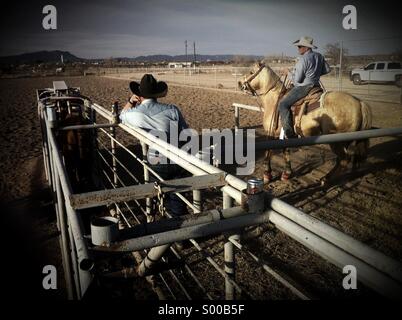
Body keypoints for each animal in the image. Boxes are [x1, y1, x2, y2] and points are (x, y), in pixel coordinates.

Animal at [239, 62, 374, 185]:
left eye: (251, 72)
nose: (239, 83)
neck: (273, 99)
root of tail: (359, 103)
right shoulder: (285, 135)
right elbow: (285, 151)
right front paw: (287, 174)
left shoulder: (270, 133)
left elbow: (268, 152)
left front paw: (267, 174)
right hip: (345, 141)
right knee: (343, 160)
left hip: (336, 142)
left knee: (344, 160)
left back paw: (325, 179)